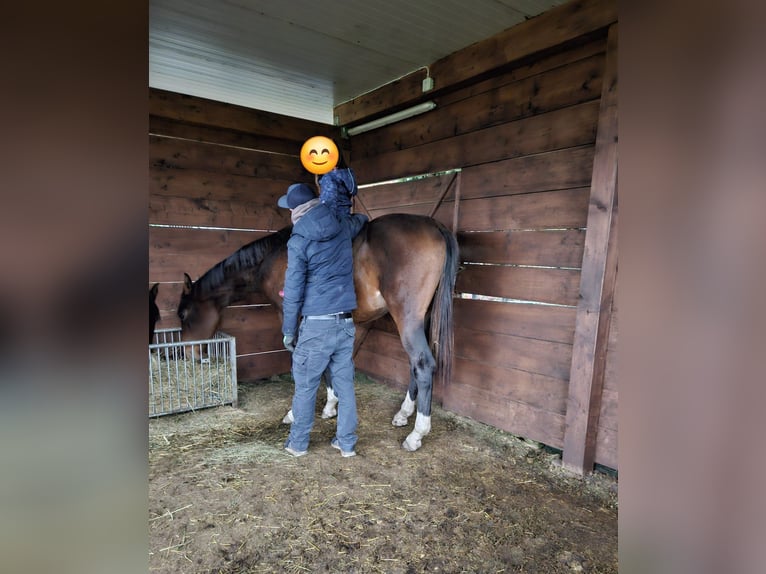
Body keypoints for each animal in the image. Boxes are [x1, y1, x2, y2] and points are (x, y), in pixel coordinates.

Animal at [177, 213, 459, 451]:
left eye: (183, 314)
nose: (188, 354)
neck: (273, 256)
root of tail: (434, 225)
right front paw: (332, 404)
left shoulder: (292, 318)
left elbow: (303, 363)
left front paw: (296, 412)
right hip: (422, 319)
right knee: (415, 365)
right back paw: (403, 414)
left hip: (408, 319)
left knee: (423, 364)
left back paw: (416, 434)